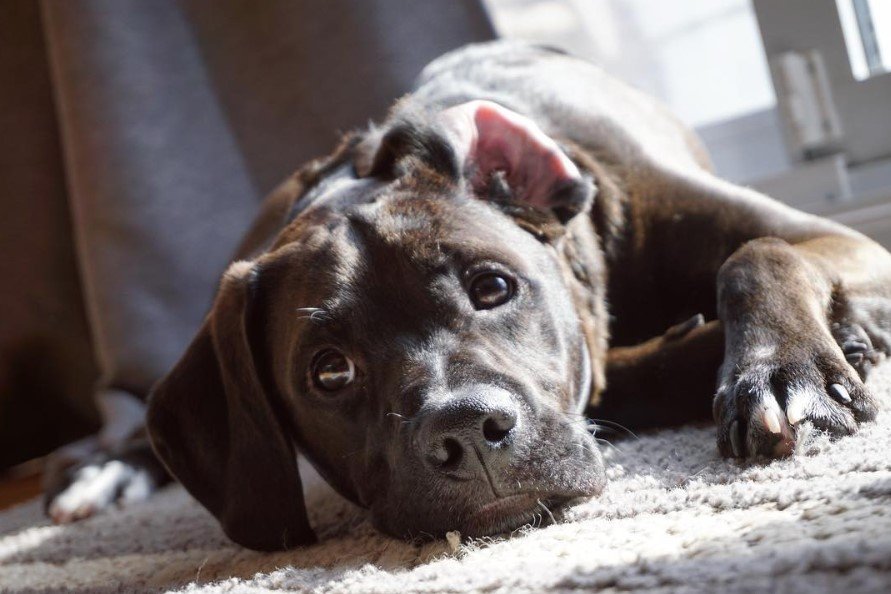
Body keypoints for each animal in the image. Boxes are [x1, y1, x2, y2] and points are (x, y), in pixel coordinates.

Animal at [43, 41, 891, 552]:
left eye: (492, 286)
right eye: (328, 371)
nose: (463, 435)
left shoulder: (833, 238)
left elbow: (755, 254)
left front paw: (783, 370)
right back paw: (97, 474)